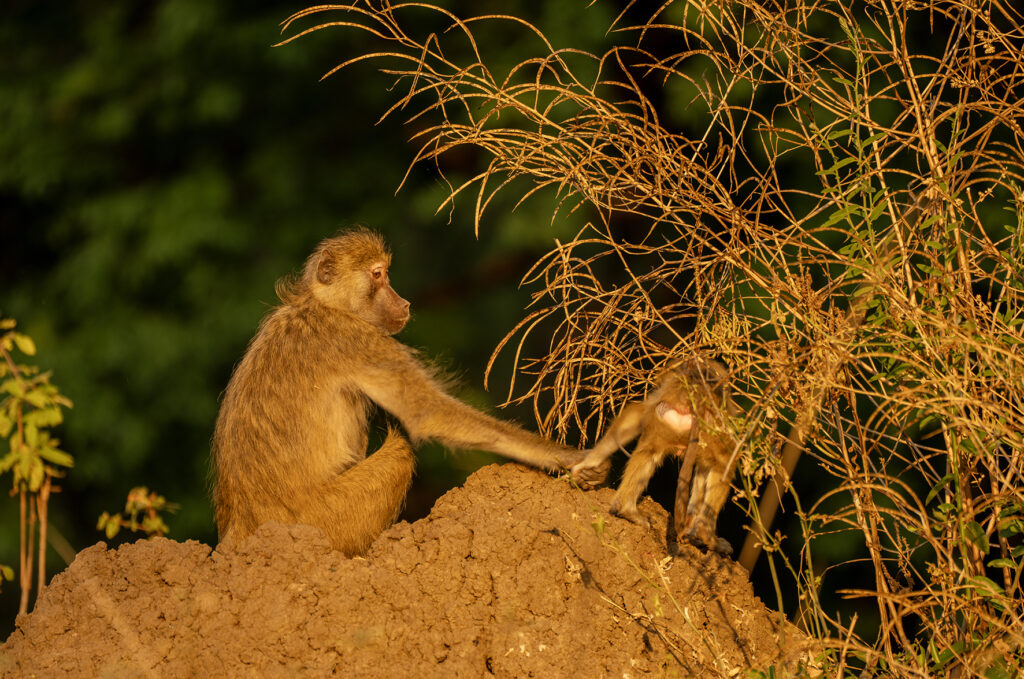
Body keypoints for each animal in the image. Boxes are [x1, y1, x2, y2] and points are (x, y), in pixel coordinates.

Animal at [212, 228, 584, 556]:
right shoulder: (357, 339)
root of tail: (241, 533)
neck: (324, 304)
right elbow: (427, 413)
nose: (403, 303)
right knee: (401, 449)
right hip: (322, 520)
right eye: (377, 275)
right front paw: (572, 458)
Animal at [572, 359, 738, 554]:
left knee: (648, 451)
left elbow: (637, 415)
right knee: (725, 462)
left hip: (668, 424)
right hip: (704, 430)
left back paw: (626, 510)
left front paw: (587, 465)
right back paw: (707, 536)